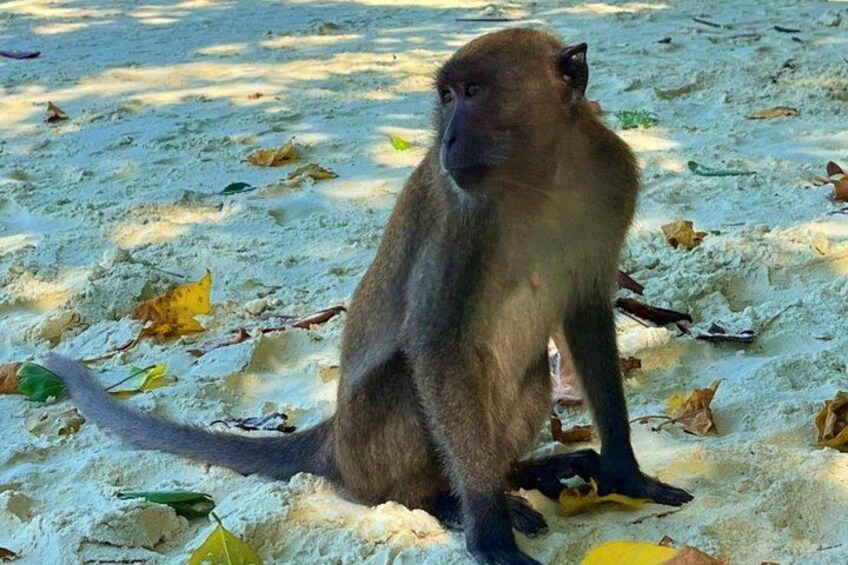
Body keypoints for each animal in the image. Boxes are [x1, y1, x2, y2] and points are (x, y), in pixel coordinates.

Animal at [45, 28, 692, 565]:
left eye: (474, 92)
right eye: (448, 96)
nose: (448, 139)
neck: (543, 176)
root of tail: (335, 438)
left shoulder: (612, 177)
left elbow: (585, 317)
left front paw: (624, 471)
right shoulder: (463, 218)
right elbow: (436, 344)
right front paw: (488, 530)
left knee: (529, 374)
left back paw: (524, 470)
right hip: (368, 447)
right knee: (410, 383)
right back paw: (446, 499)